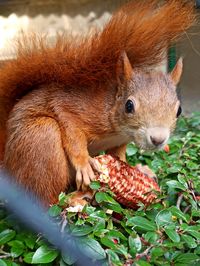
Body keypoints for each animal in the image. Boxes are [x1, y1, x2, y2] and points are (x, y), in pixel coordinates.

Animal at [0, 0, 195, 205]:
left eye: (179, 110)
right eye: (129, 105)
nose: (158, 139)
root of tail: (7, 161)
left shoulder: (119, 143)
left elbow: (119, 156)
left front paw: (135, 170)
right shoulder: (73, 108)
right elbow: (71, 131)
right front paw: (84, 164)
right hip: (41, 138)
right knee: (46, 199)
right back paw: (74, 198)